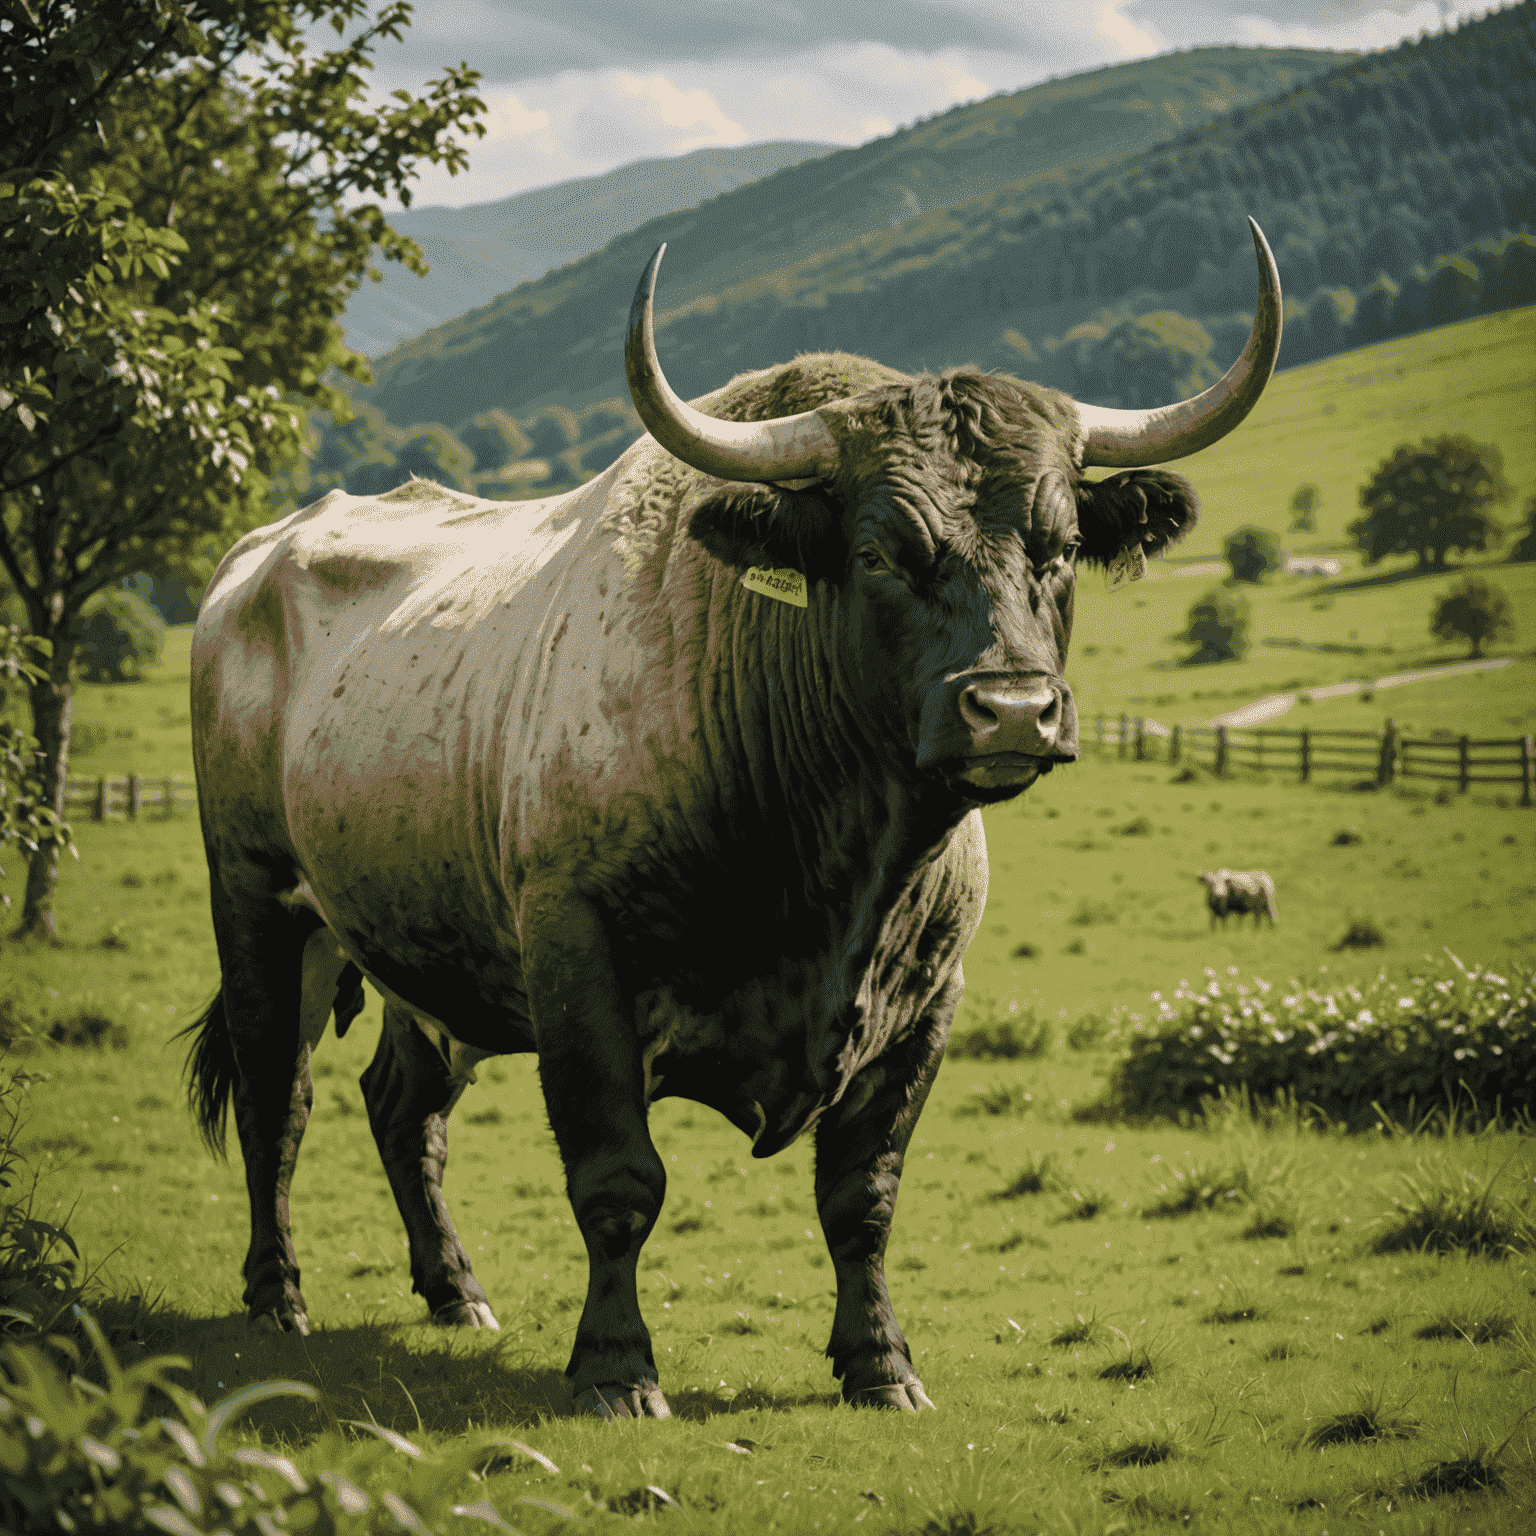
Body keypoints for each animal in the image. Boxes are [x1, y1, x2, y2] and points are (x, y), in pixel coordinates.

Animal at [182, 219, 1284, 1413]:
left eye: (1062, 546)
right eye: (879, 553)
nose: (1012, 709)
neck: (835, 870)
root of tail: (256, 560)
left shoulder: (927, 1000)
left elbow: (864, 1195)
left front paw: (880, 1364)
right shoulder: (576, 961)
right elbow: (619, 1179)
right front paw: (616, 1370)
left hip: (412, 948)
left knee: (402, 1106)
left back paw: (454, 1292)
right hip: (258, 906)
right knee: (276, 1101)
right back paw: (278, 1298)